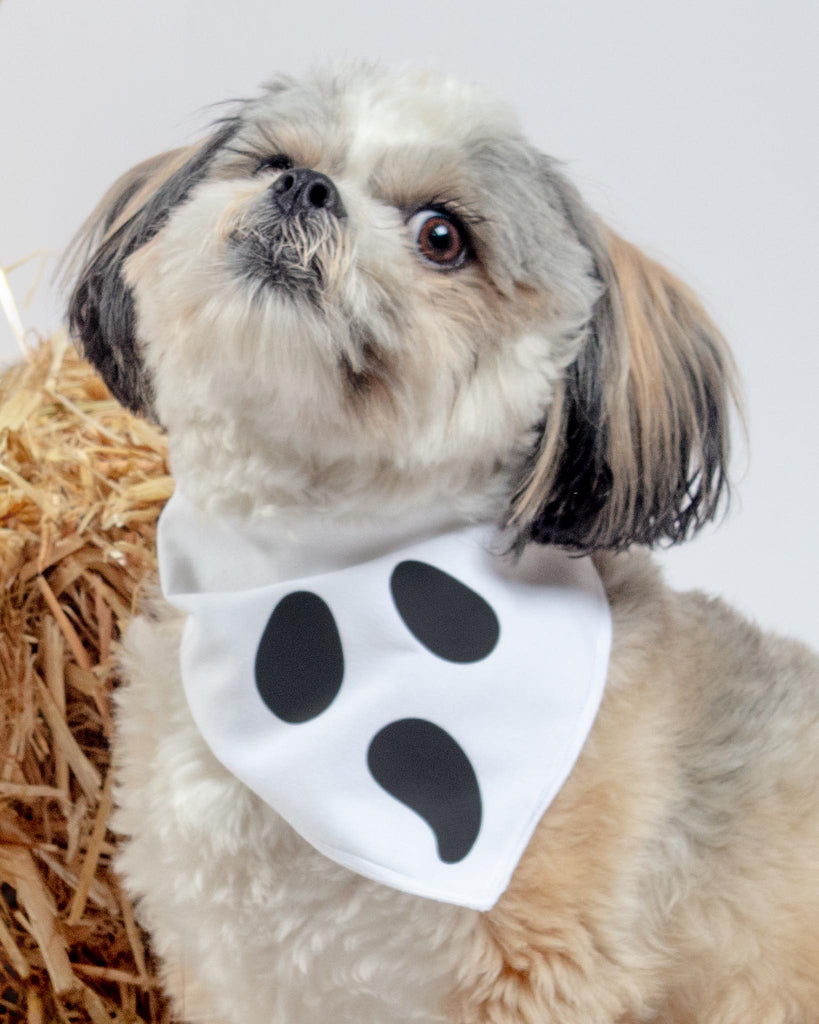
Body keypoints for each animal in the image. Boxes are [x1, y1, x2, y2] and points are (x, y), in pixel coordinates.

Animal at [68, 66, 818, 1024]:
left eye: (440, 236)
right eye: (274, 160)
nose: (304, 189)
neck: (301, 579)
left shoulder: (535, 977)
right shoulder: (228, 968)